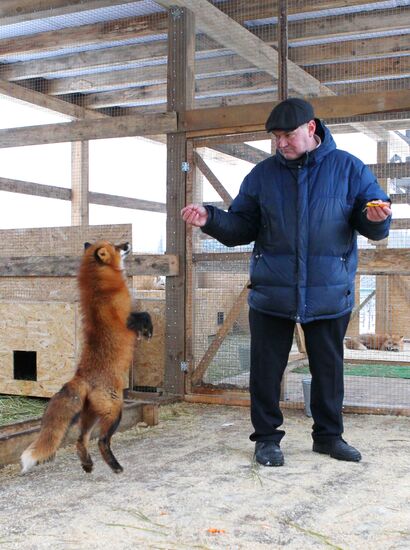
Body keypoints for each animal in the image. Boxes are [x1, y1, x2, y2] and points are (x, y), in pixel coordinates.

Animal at [20, 239, 152, 476]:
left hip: (90, 416)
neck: (102, 286)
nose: (128, 243)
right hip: (115, 410)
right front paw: (148, 331)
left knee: (80, 440)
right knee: (101, 441)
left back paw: (88, 464)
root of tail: (80, 377)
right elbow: (145, 314)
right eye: (116, 247)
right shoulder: (127, 318)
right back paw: (115, 466)